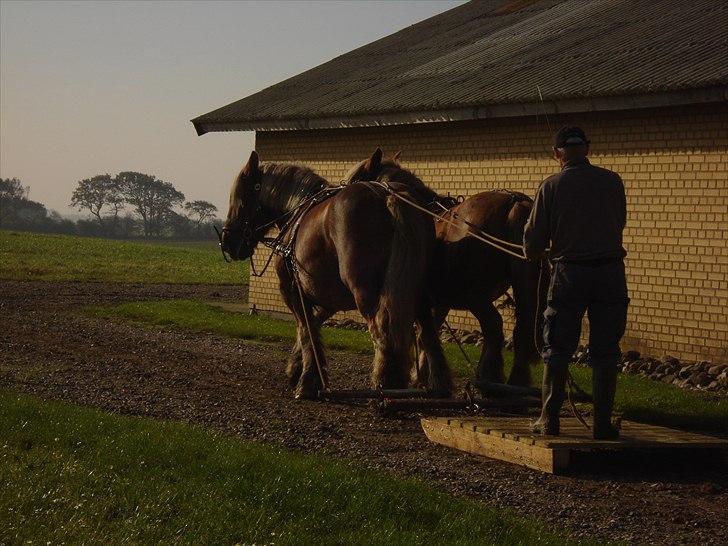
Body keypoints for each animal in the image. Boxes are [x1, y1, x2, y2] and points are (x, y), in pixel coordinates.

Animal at [219, 151, 452, 398]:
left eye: (239, 197)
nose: (227, 241)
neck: (297, 212)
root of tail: (390, 196)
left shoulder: (292, 290)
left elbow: (306, 329)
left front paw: (308, 381)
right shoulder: (329, 299)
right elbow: (314, 326)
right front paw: (297, 368)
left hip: (366, 293)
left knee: (382, 330)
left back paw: (385, 382)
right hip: (418, 291)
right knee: (427, 330)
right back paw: (439, 384)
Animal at [346, 149, 544, 386]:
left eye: (355, 181)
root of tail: (514, 203)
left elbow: (423, 335)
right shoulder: (439, 302)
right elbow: (428, 335)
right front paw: (424, 375)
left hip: (476, 296)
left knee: (494, 328)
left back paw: (489, 377)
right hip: (525, 288)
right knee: (521, 331)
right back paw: (515, 382)